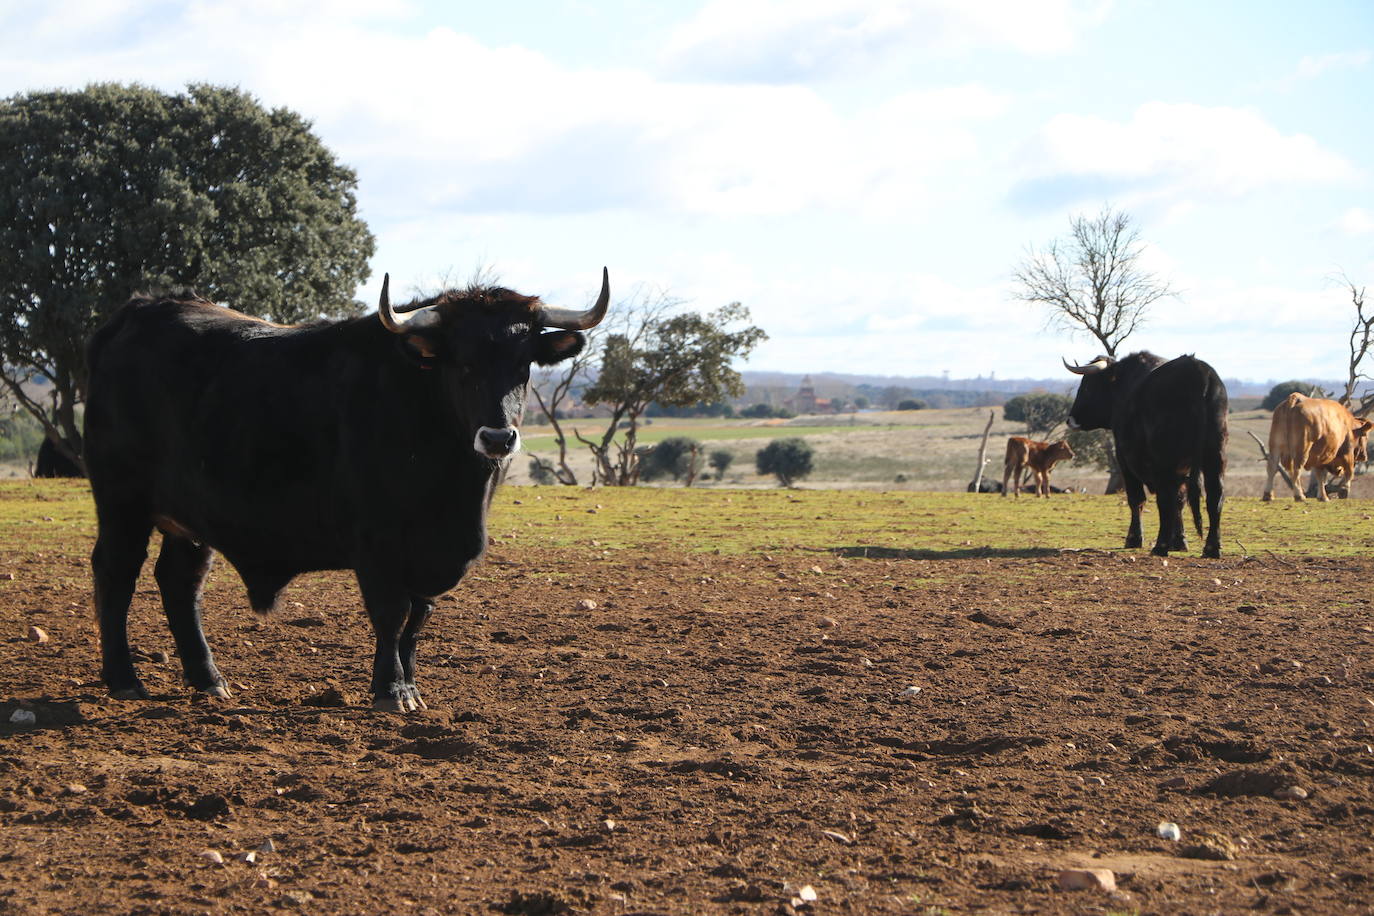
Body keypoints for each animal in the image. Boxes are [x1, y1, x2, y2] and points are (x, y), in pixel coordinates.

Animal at [80, 269, 607, 714]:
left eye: (524, 364)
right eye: (461, 361)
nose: (497, 437)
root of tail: (140, 310)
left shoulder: (429, 554)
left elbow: (418, 618)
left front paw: (410, 685)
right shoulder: (376, 544)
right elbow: (392, 614)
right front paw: (390, 690)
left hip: (190, 517)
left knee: (180, 581)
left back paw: (208, 679)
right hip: (122, 502)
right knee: (116, 573)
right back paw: (124, 679)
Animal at [1066, 354, 1231, 560]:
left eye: (1087, 386)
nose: (1070, 419)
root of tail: (1196, 370)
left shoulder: (1125, 461)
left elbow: (1137, 499)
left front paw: (1134, 538)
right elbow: (1180, 502)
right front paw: (1179, 541)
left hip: (1165, 463)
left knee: (1165, 499)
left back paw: (1160, 546)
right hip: (1214, 457)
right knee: (1215, 496)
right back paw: (1211, 548)